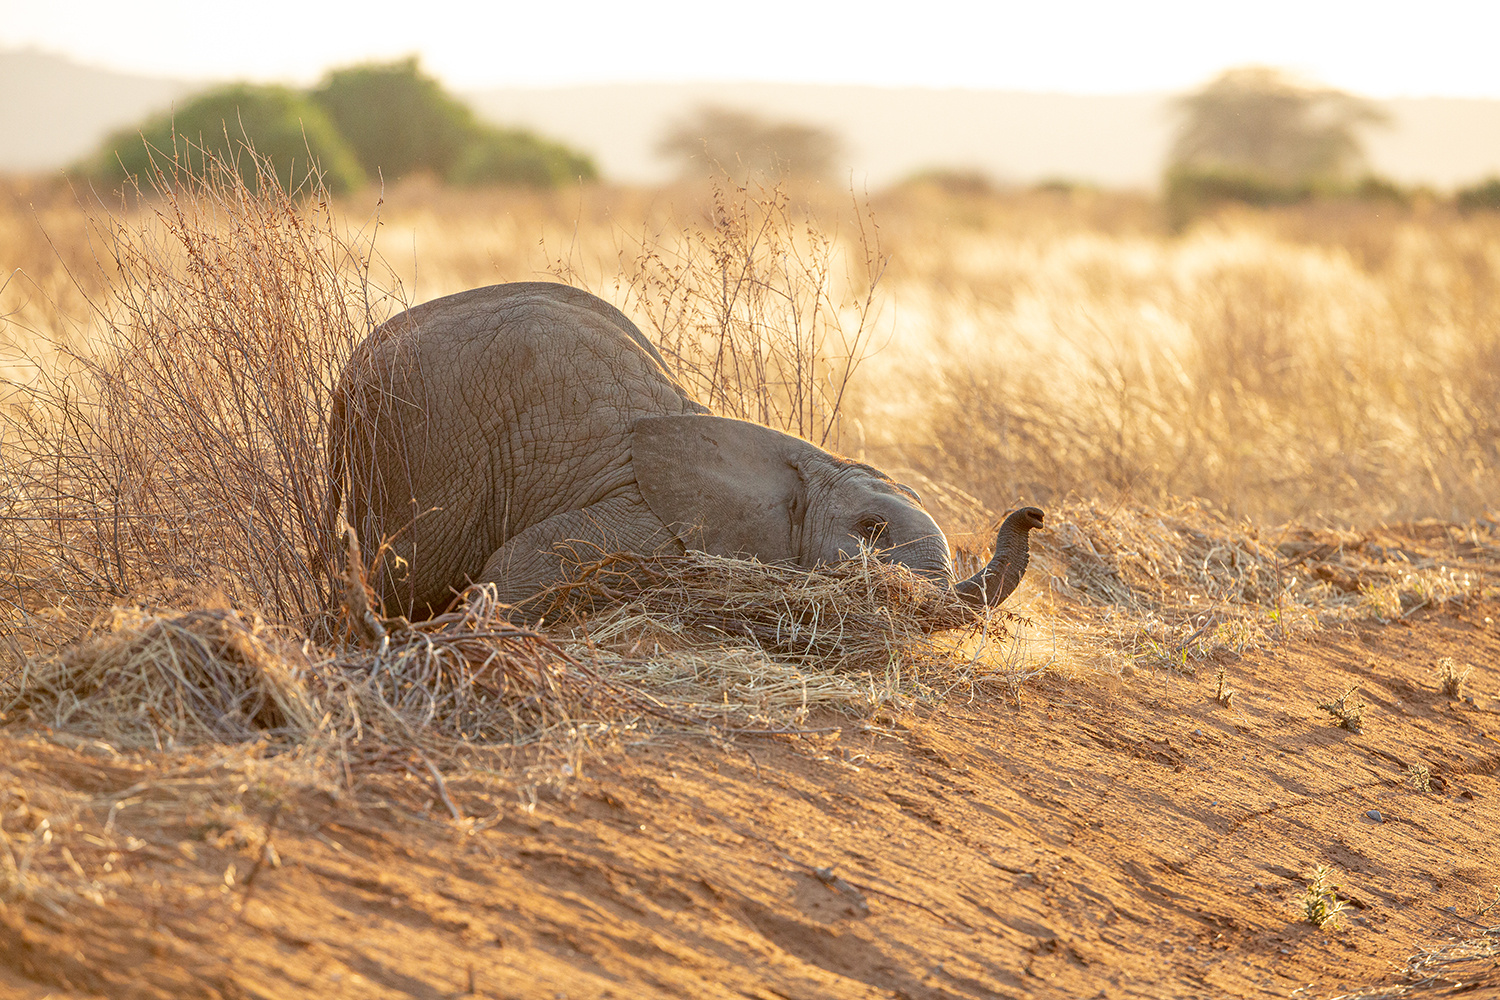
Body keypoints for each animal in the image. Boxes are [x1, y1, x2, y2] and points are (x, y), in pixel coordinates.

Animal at [328, 281, 1038, 617]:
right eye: (870, 529)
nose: (1033, 513)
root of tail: (355, 364)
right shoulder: (640, 521)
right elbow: (519, 568)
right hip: (419, 454)